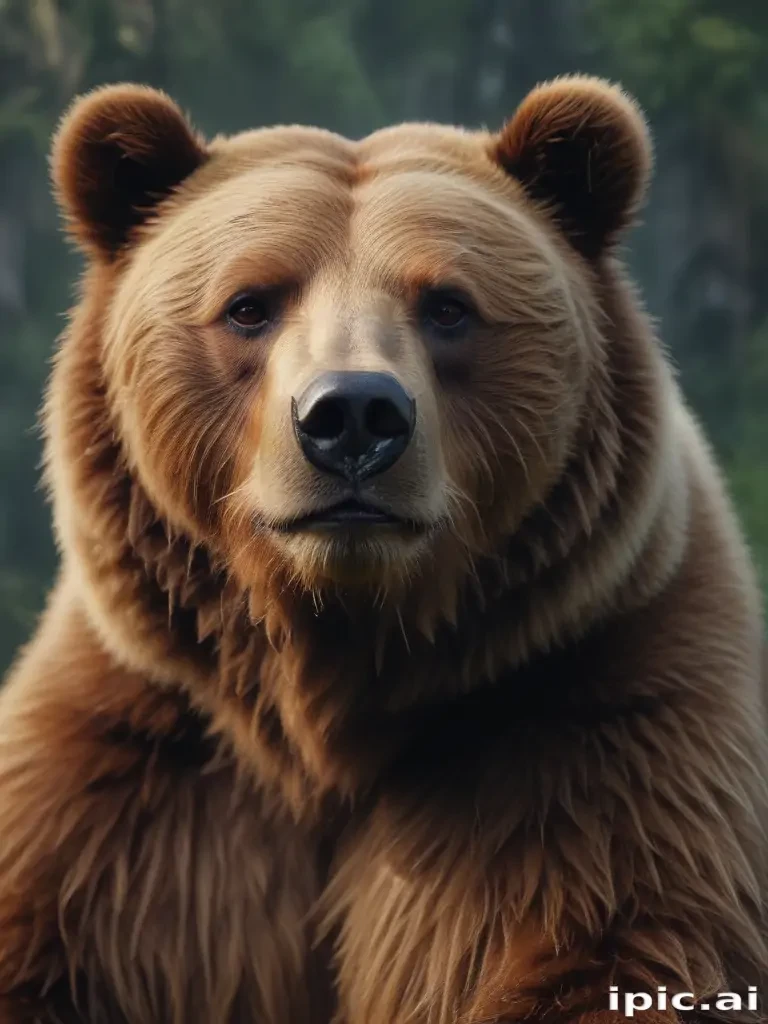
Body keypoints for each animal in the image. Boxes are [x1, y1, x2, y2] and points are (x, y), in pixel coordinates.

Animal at [0, 74, 766, 1024]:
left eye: (449, 306)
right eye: (249, 304)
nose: (353, 416)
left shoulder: (596, 728)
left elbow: (615, 940)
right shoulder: (133, 775)